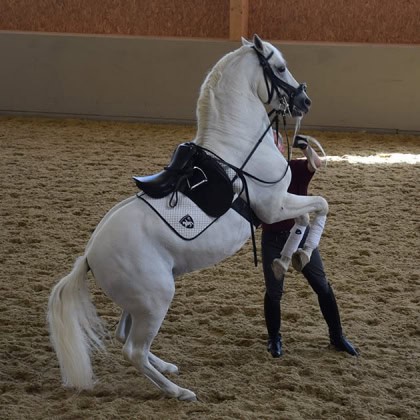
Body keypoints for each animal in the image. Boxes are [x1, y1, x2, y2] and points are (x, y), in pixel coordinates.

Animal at [46, 35, 328, 400]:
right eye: (279, 68)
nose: (305, 101)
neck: (240, 145)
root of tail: (89, 257)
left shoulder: (279, 206)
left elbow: (309, 215)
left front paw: (286, 258)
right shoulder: (275, 206)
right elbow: (320, 205)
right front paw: (299, 254)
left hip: (140, 302)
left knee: (126, 336)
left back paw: (166, 367)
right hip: (156, 299)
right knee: (133, 350)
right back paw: (177, 391)